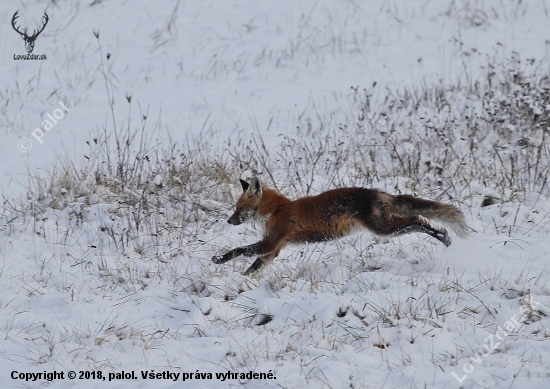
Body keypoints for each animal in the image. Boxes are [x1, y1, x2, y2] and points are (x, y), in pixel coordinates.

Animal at [213, 177, 468, 274]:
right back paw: (445, 238)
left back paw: (443, 236)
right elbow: (253, 267)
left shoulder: (270, 242)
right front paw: (243, 283)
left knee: (417, 221)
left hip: (384, 228)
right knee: (417, 222)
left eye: (239, 208)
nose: (229, 221)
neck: (276, 210)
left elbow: (239, 250)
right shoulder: (273, 250)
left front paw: (219, 259)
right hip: (388, 228)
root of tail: (380, 193)